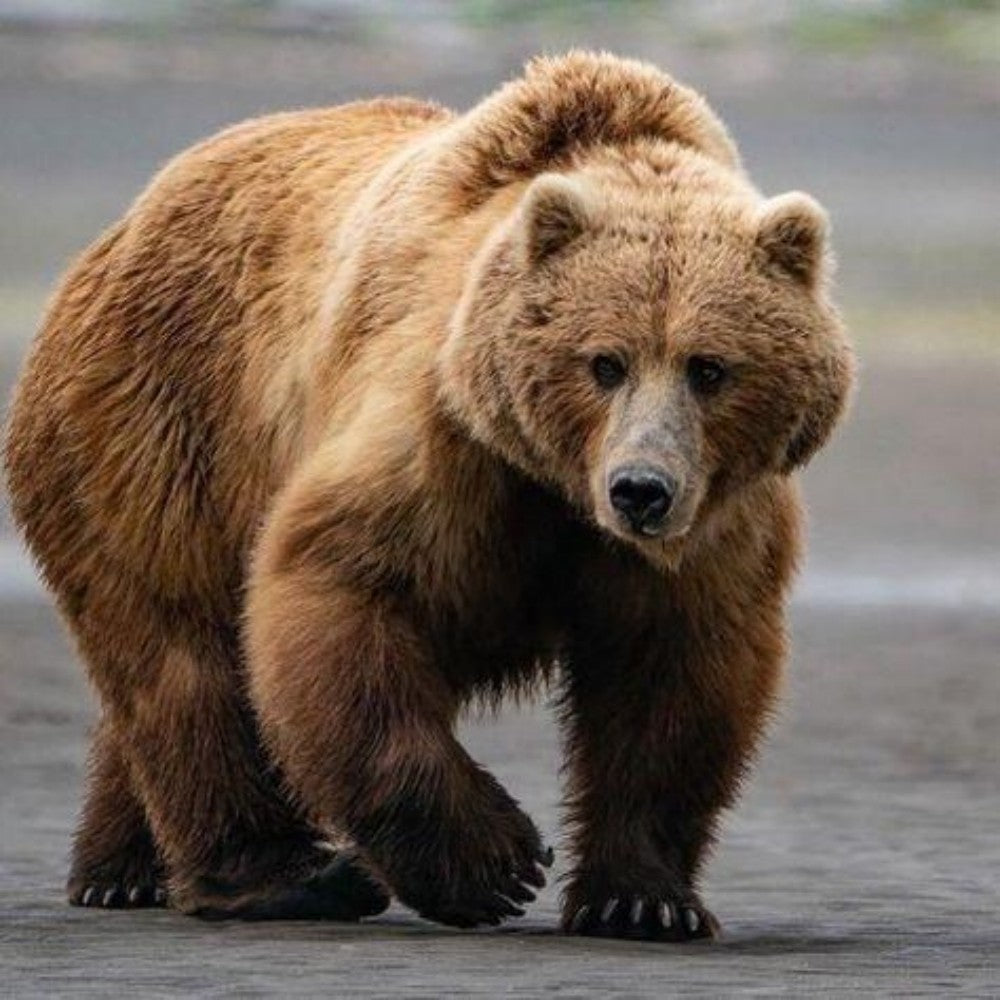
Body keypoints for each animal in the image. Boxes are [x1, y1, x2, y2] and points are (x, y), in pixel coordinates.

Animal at [4, 51, 853, 938]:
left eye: (709, 367)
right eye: (605, 361)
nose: (640, 491)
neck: (558, 486)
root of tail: (120, 230)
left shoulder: (712, 518)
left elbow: (671, 679)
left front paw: (643, 900)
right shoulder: (444, 436)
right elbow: (342, 589)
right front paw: (498, 864)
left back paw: (122, 870)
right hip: (160, 424)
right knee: (186, 650)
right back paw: (289, 878)